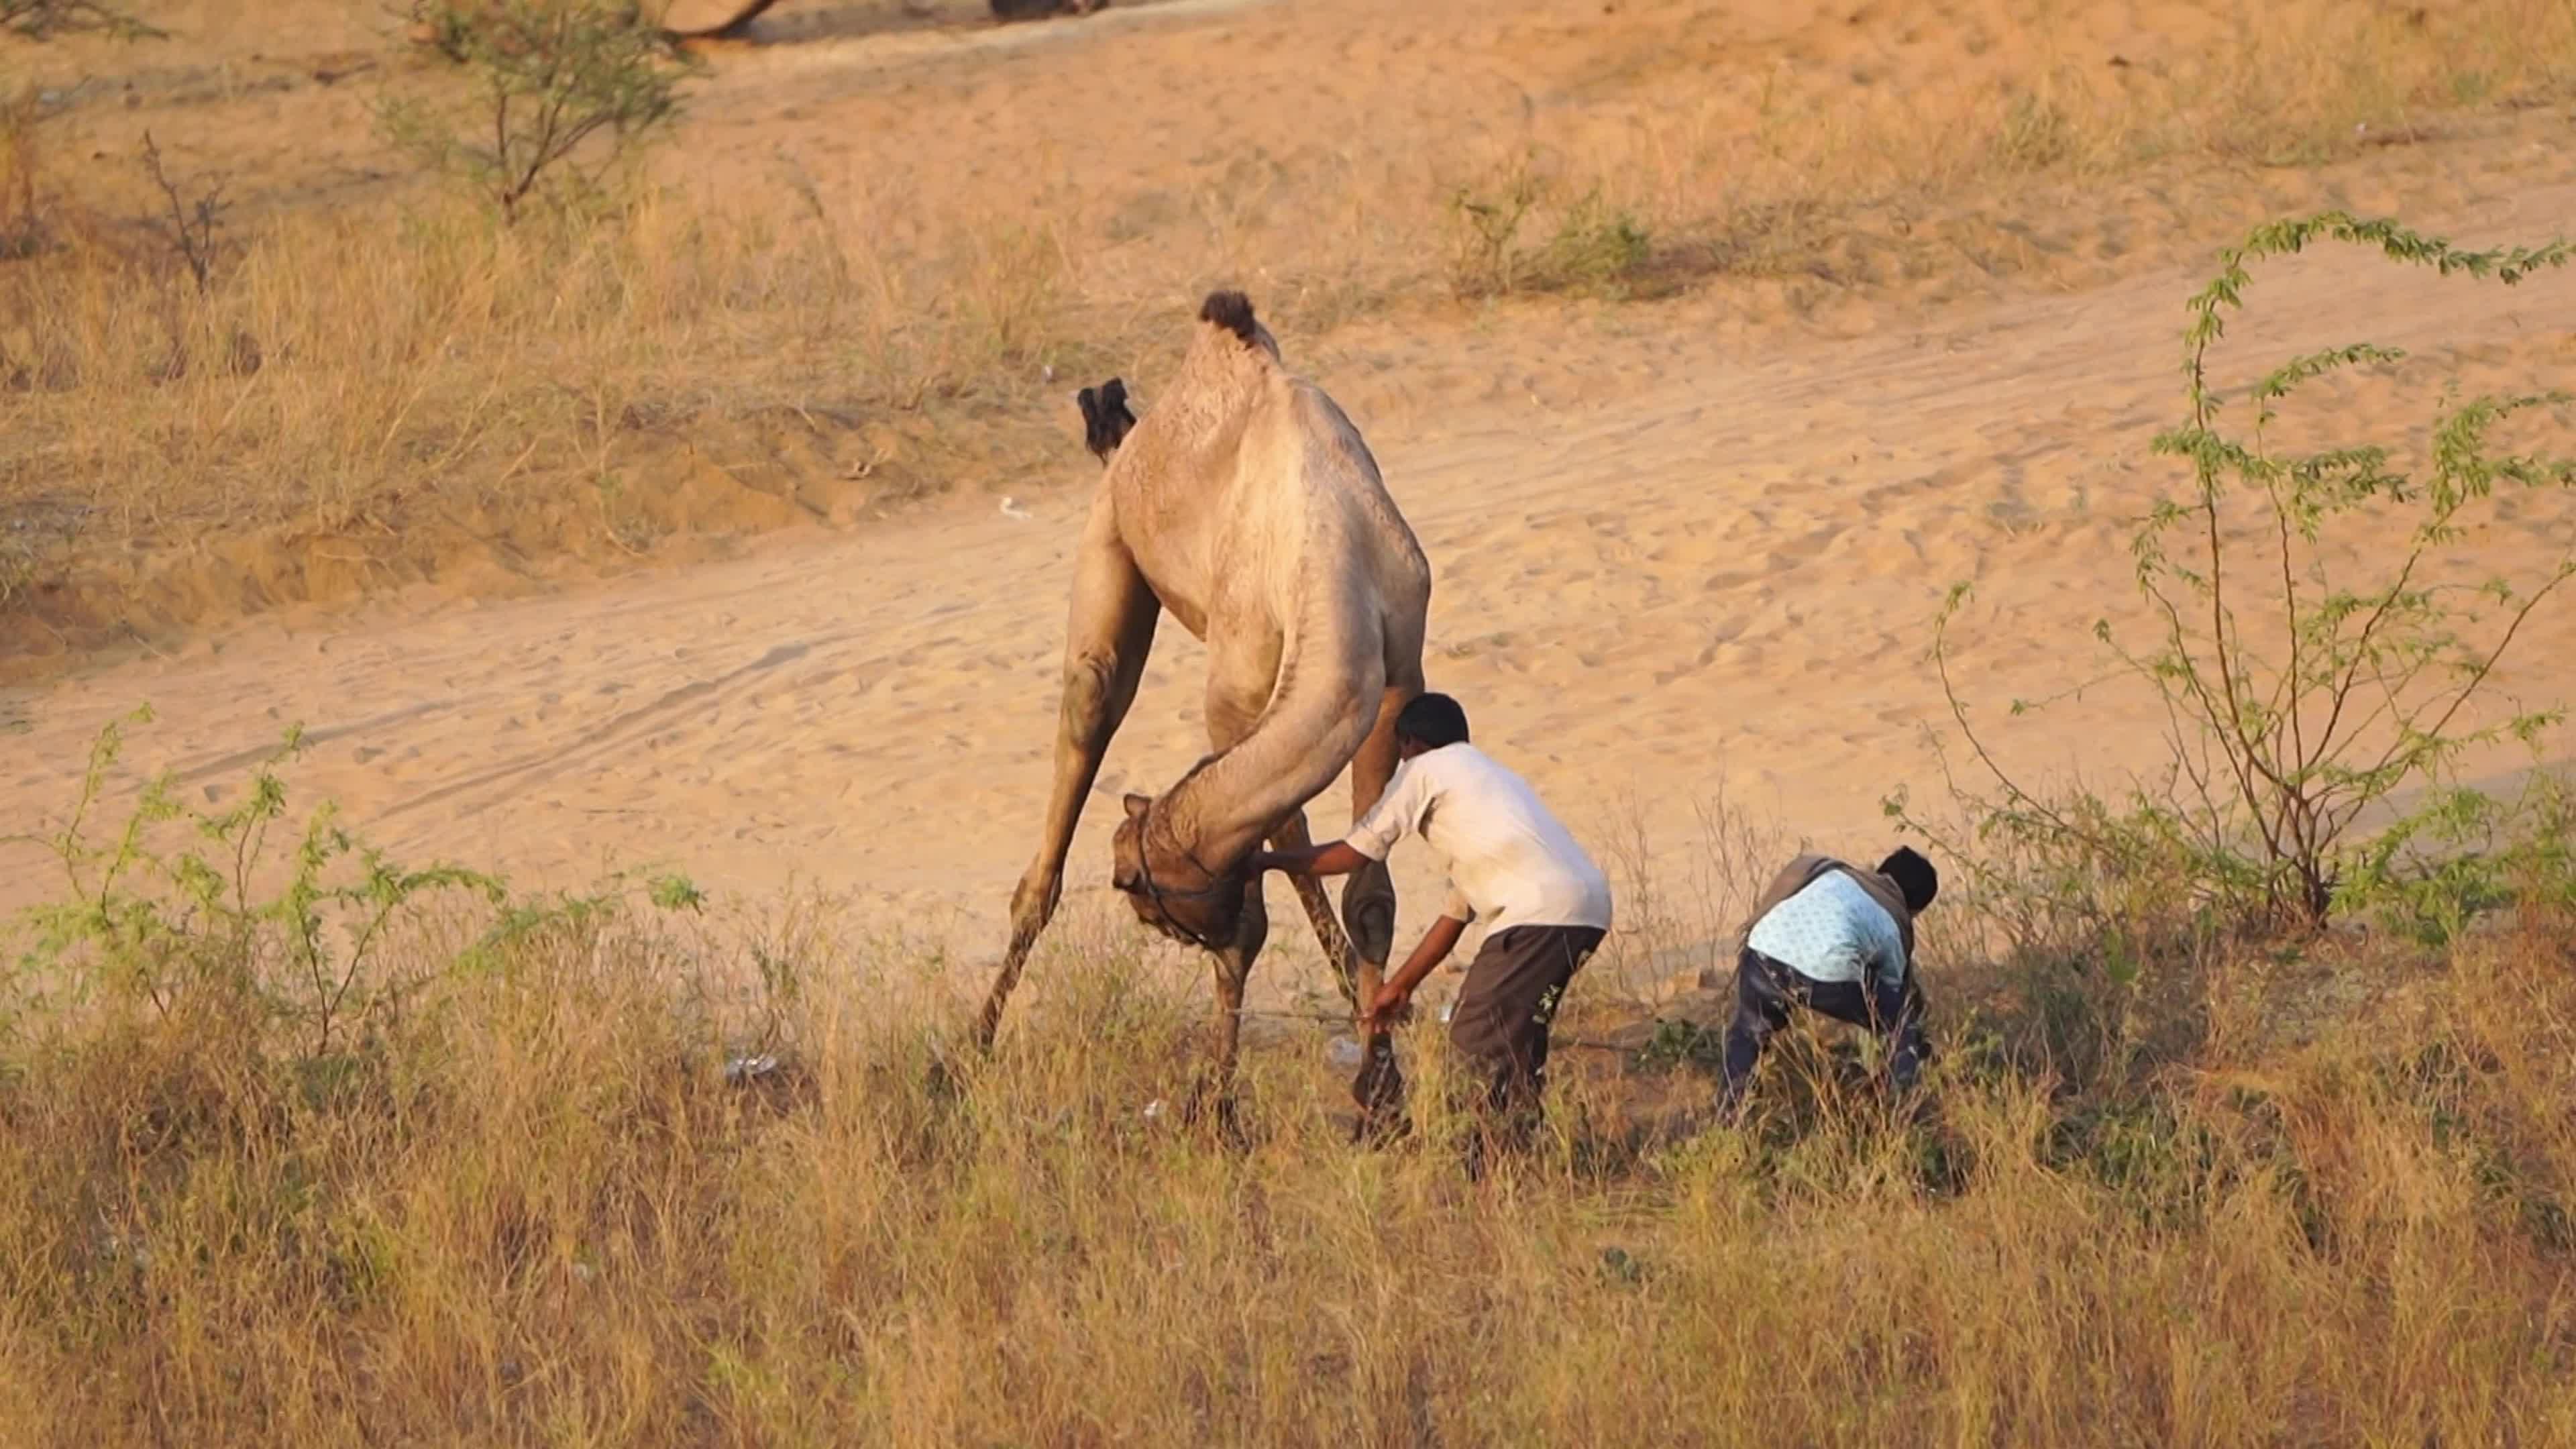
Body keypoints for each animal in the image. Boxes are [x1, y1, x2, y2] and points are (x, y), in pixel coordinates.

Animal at [976, 291, 1432, 1123]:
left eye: (1150, 892)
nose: (1149, 916)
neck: (1331, 556)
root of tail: (1134, 436)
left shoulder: (1396, 675)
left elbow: (1368, 897)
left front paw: (1383, 1090)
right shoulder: (1237, 692)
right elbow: (1260, 911)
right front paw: (1219, 1103)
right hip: (1109, 530)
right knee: (1089, 704)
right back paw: (969, 1045)